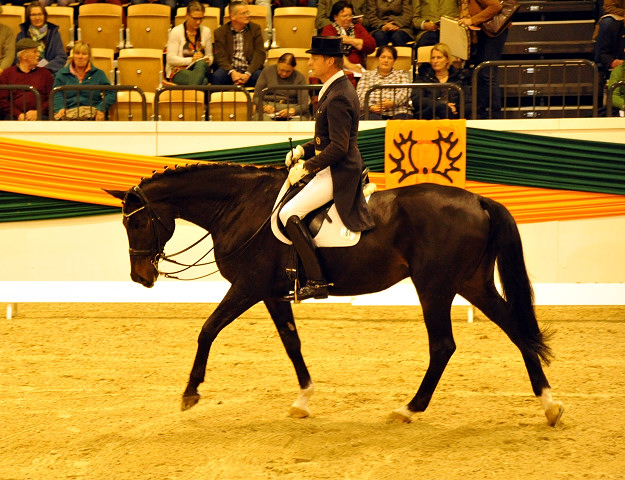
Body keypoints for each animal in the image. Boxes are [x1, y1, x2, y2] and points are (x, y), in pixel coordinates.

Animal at [107, 162, 564, 428]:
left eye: (138, 223)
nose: (140, 278)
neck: (243, 206)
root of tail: (478, 199)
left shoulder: (248, 286)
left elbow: (207, 330)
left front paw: (190, 394)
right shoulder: (272, 293)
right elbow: (291, 343)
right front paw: (303, 400)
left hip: (434, 286)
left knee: (443, 346)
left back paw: (409, 409)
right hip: (472, 283)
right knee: (517, 330)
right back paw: (549, 405)